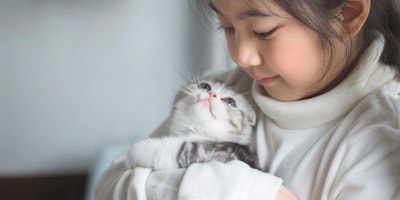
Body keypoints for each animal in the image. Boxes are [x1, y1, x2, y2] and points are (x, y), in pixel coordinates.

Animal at [124, 79, 260, 170]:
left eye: (230, 103)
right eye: (205, 87)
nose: (212, 94)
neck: (197, 131)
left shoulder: (223, 154)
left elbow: (182, 148)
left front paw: (138, 151)